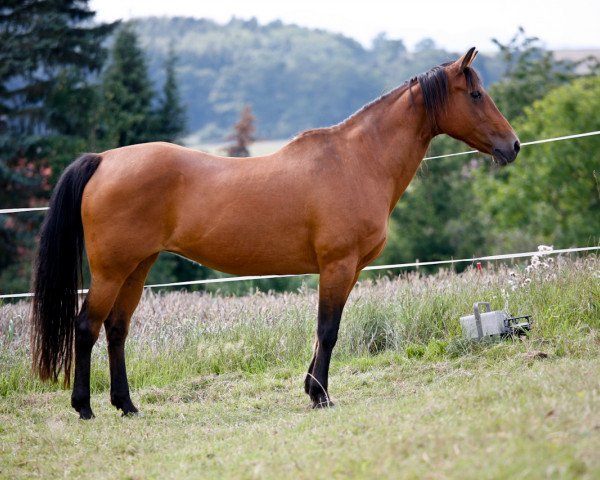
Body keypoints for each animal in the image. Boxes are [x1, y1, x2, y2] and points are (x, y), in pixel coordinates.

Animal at [31, 47, 520, 418]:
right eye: (476, 94)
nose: (512, 145)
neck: (358, 160)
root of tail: (103, 160)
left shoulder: (347, 271)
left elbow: (324, 331)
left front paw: (311, 389)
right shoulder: (337, 266)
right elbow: (328, 330)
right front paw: (321, 396)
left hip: (138, 267)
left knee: (116, 330)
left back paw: (127, 405)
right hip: (112, 271)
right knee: (86, 327)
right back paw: (85, 407)